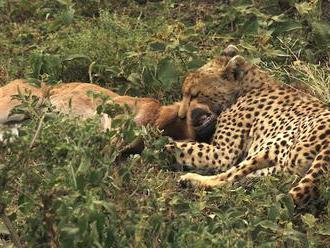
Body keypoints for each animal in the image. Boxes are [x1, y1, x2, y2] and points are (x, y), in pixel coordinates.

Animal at [169, 44, 328, 205]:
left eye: (195, 95)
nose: (181, 116)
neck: (249, 86)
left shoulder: (223, 154)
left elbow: (184, 147)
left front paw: (165, 144)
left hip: (271, 146)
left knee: (225, 179)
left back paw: (192, 180)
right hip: (280, 167)